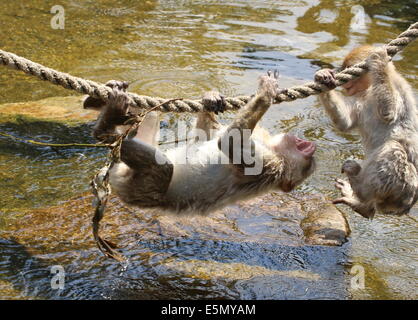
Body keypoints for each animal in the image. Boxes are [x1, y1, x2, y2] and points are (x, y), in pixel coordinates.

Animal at [83, 71, 316, 216]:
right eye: (308, 152)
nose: (310, 145)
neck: (271, 146)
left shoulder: (271, 166)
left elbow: (228, 143)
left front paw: (267, 92)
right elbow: (207, 134)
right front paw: (211, 99)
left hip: (140, 190)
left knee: (162, 168)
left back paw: (105, 129)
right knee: (151, 116)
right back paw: (100, 100)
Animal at [316, 45, 418, 219]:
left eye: (351, 74)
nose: (346, 85)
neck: (370, 90)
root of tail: (406, 208)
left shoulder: (397, 87)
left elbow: (388, 112)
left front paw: (379, 62)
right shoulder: (360, 99)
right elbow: (345, 123)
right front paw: (324, 78)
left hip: (405, 188)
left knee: (394, 149)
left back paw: (360, 188)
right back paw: (363, 206)